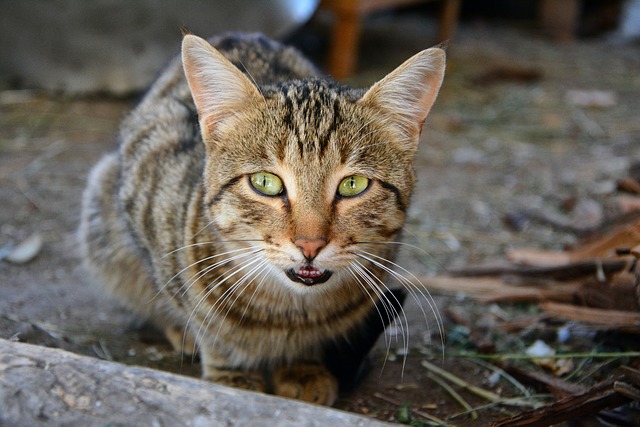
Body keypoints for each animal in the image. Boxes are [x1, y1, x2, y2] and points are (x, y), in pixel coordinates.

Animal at [80, 31, 444, 406]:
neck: (286, 313)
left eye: (353, 184)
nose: (309, 245)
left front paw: (302, 367)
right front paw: (231, 372)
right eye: (265, 183)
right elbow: (206, 321)